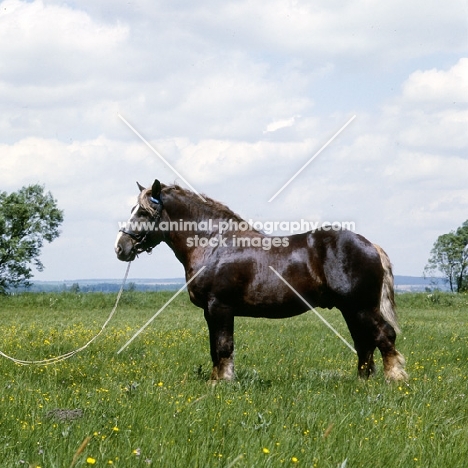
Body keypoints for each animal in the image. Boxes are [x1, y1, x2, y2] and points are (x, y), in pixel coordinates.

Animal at [115, 179, 408, 380]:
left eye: (143, 212)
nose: (121, 247)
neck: (213, 243)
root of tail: (370, 245)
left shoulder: (219, 307)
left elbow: (223, 347)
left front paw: (222, 383)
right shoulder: (211, 312)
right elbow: (215, 348)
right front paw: (217, 380)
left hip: (361, 307)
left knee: (384, 335)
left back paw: (394, 379)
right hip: (351, 309)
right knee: (364, 342)